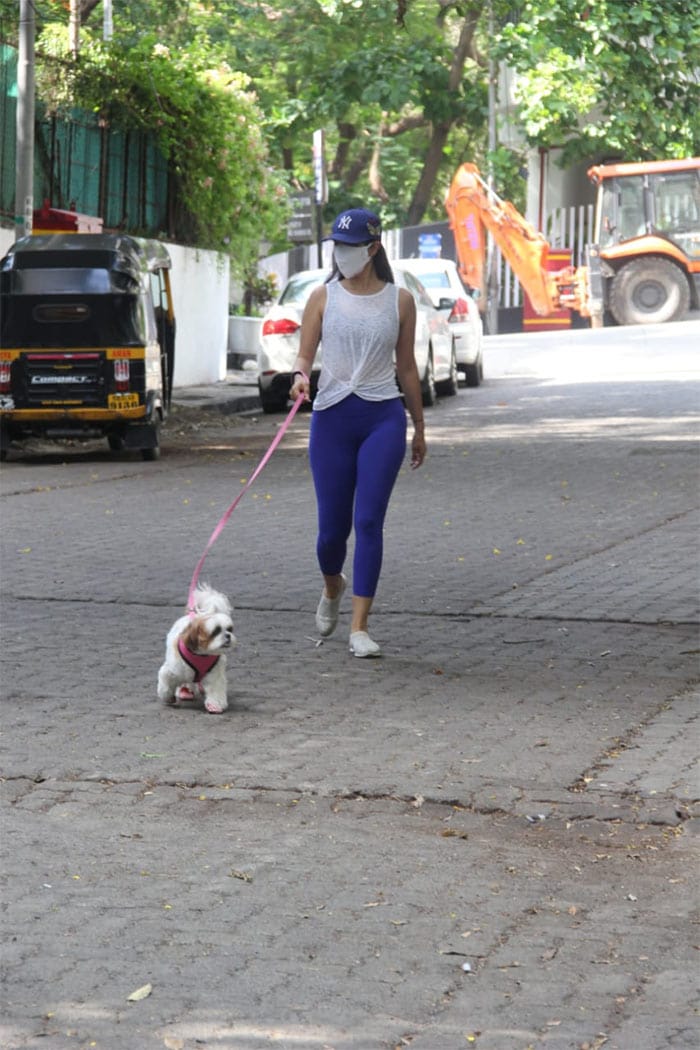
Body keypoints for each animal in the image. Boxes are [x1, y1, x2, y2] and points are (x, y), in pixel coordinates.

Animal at [157, 583, 237, 713]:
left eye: (229, 629)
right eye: (216, 631)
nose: (228, 635)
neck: (202, 654)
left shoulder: (215, 674)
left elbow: (215, 689)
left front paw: (215, 705)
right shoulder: (173, 670)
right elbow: (166, 683)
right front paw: (168, 697)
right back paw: (185, 690)